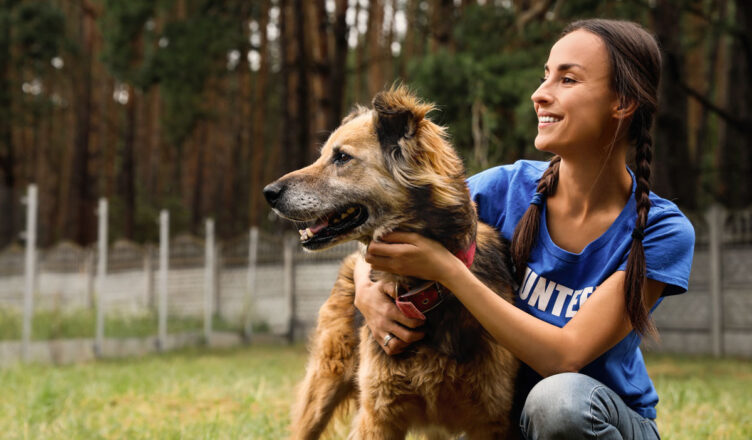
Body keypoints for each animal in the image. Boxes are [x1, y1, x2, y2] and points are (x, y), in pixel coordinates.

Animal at [262, 87, 516, 440]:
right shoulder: (379, 415)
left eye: (342, 157)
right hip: (324, 385)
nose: (268, 193)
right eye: (323, 155)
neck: (422, 291)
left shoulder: (490, 421)